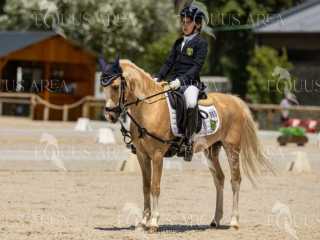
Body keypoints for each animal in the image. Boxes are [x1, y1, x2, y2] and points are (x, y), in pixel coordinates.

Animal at [101, 56, 274, 232]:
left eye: (115, 86)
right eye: (103, 87)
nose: (109, 115)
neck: (149, 109)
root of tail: (234, 100)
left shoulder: (157, 156)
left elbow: (155, 186)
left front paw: (154, 222)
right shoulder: (142, 156)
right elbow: (146, 187)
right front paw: (143, 222)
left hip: (232, 149)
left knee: (235, 180)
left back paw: (234, 221)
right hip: (211, 150)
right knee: (219, 178)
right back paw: (215, 220)